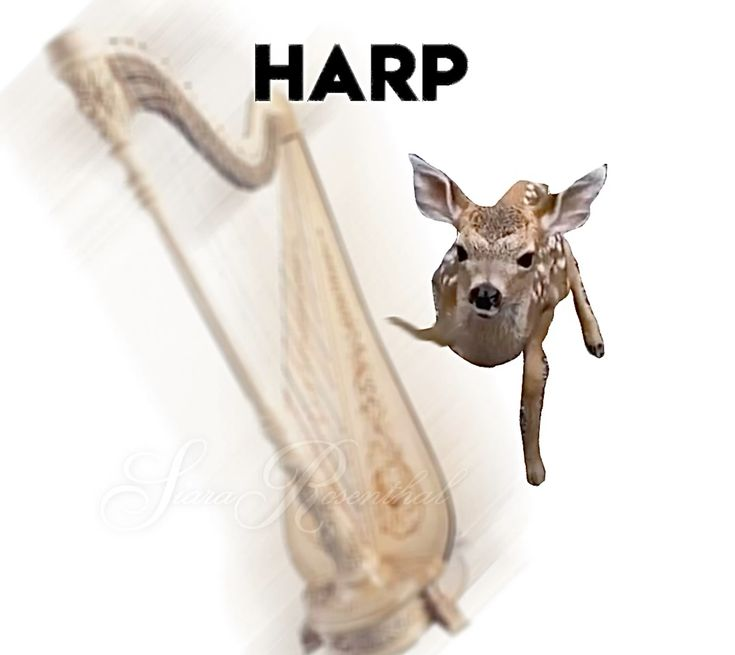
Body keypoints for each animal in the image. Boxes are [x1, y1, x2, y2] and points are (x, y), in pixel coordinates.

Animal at [390, 155, 607, 486]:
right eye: (461, 250)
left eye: (527, 258)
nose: (485, 293)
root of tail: (534, 184)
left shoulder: (540, 324)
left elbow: (531, 393)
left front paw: (536, 472)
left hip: (559, 265)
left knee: (572, 263)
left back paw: (596, 341)